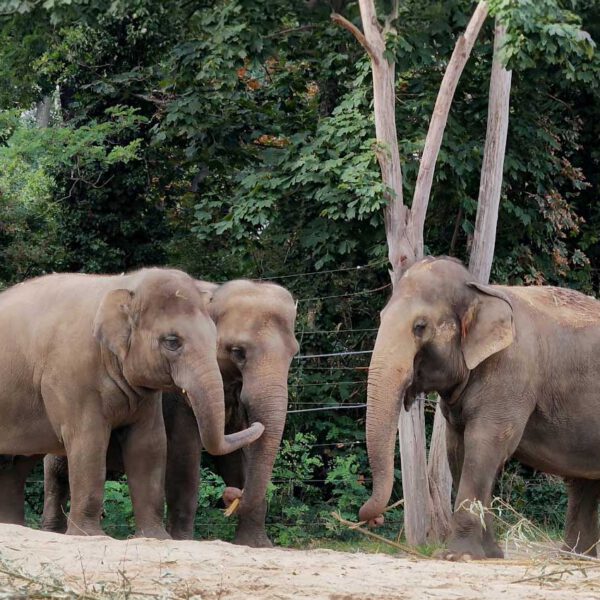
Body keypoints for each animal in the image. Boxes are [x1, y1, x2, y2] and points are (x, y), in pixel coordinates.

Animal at [39, 278, 298, 548]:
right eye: (238, 351)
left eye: (294, 353)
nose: (230, 496)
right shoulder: (175, 398)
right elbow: (184, 456)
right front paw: (182, 539)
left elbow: (236, 458)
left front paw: (255, 545)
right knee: (57, 468)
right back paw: (52, 531)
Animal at [356, 255, 600, 560]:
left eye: (420, 327)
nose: (374, 519)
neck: (480, 290)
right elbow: (458, 450)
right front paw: (491, 554)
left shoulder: (509, 373)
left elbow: (485, 445)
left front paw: (457, 555)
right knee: (584, 481)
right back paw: (576, 557)